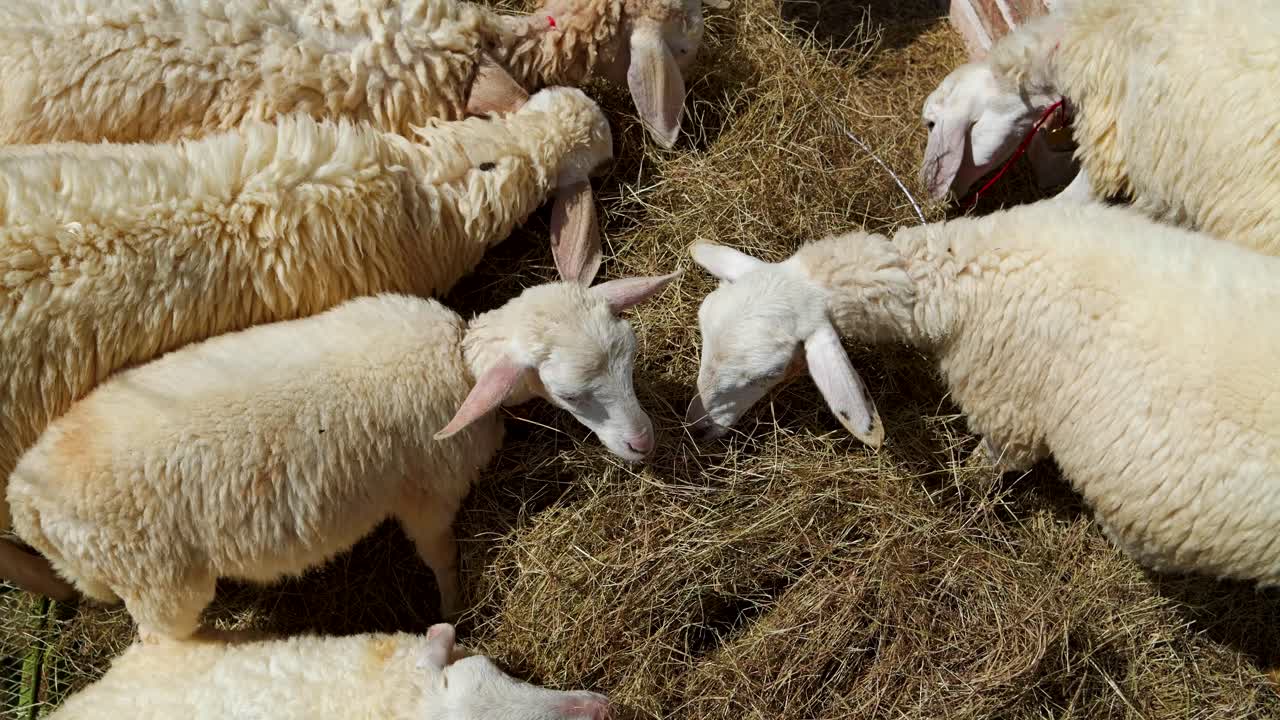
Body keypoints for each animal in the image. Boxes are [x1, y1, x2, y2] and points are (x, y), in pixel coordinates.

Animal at [8, 253, 678, 640]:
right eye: (569, 392)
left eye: (632, 356)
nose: (645, 442)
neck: (461, 364)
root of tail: (26, 495)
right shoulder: (427, 493)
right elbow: (440, 556)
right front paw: (454, 609)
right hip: (158, 582)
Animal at [685, 200, 1280, 586]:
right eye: (703, 325)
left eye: (767, 372)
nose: (694, 426)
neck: (965, 272)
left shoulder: (1008, 413)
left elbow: (988, 466)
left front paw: (962, 500)